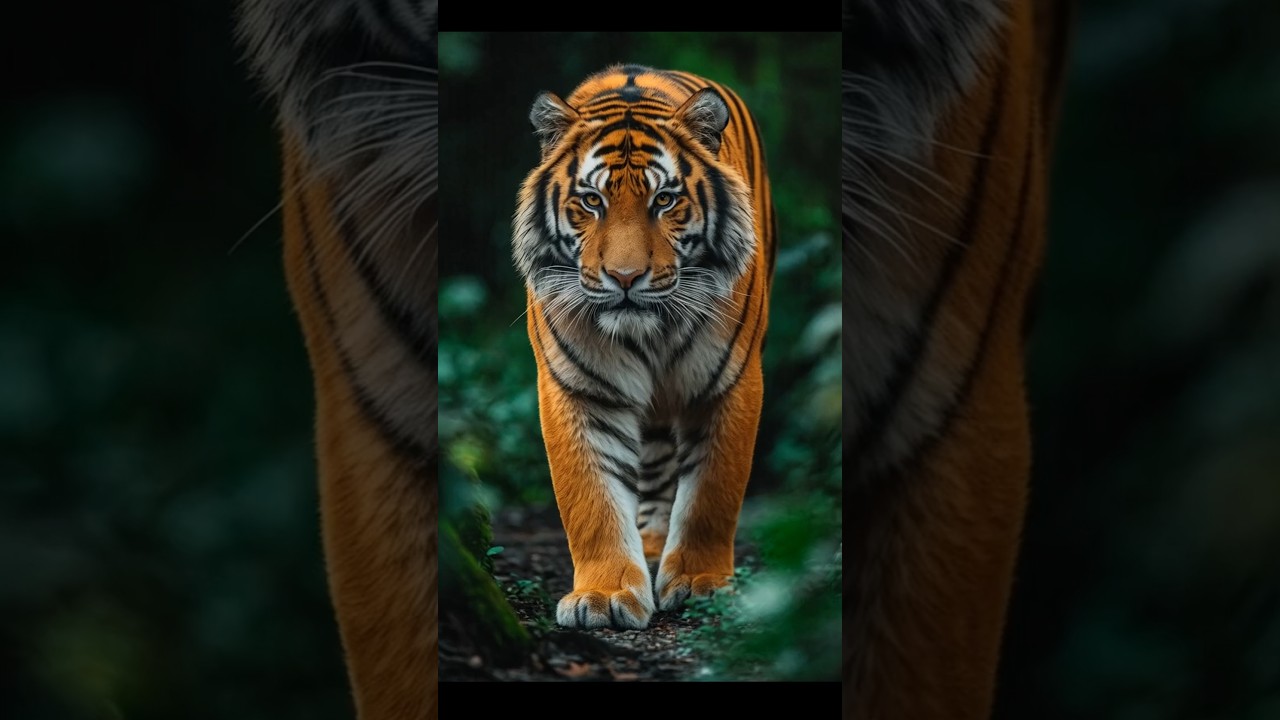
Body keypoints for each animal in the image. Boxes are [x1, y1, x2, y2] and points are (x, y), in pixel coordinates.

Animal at [512, 64, 775, 630]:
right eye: (592, 201)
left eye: (665, 201)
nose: (626, 277)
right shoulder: (577, 388)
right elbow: (591, 499)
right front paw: (604, 595)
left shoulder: (730, 381)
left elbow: (712, 494)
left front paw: (701, 584)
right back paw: (649, 546)